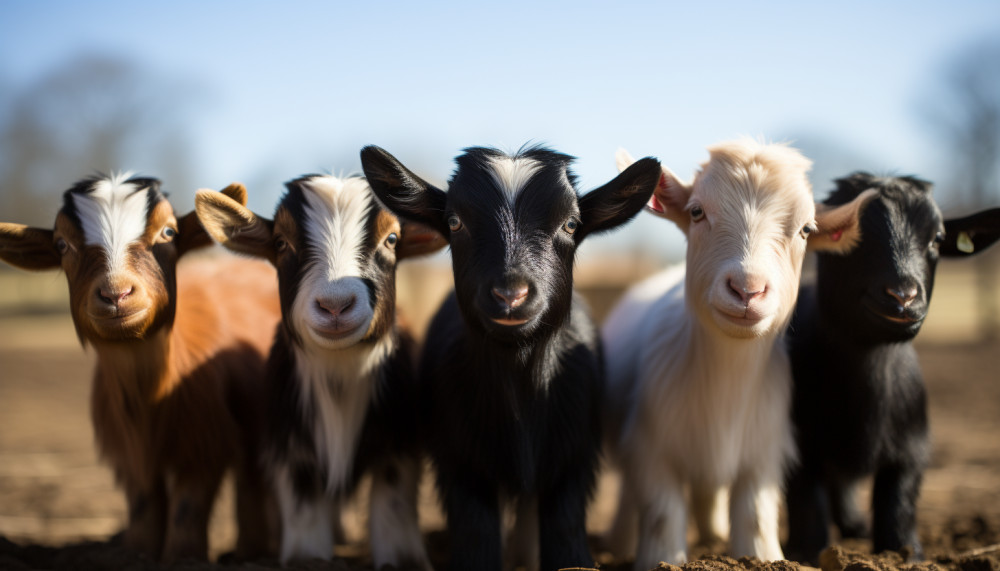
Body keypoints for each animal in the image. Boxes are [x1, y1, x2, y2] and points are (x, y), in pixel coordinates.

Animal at [0, 174, 280, 561]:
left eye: (169, 232)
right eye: (62, 244)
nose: (116, 293)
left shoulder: (203, 444)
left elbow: (187, 510)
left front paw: (184, 558)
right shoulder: (128, 453)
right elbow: (144, 508)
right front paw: (138, 553)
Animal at [194, 174, 446, 568]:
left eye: (391, 240)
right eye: (281, 243)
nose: (335, 305)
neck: (339, 375)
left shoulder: (399, 440)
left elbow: (393, 503)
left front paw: (401, 559)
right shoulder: (292, 445)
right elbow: (305, 510)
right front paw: (308, 557)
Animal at [361, 144, 662, 571]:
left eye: (571, 224)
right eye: (455, 222)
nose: (510, 295)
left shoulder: (575, 453)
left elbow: (565, 525)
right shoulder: (459, 457)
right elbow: (476, 529)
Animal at [602, 141, 877, 570]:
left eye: (806, 230)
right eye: (696, 212)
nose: (747, 289)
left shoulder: (764, 451)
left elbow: (755, 514)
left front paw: (761, 557)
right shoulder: (652, 447)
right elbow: (662, 513)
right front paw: (661, 559)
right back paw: (619, 543)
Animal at [784, 174, 1000, 563]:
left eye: (938, 238)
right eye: (842, 235)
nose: (903, 296)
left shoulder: (913, 446)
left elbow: (898, 499)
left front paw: (905, 552)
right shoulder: (797, 440)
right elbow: (806, 498)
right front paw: (806, 553)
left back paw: (854, 525)